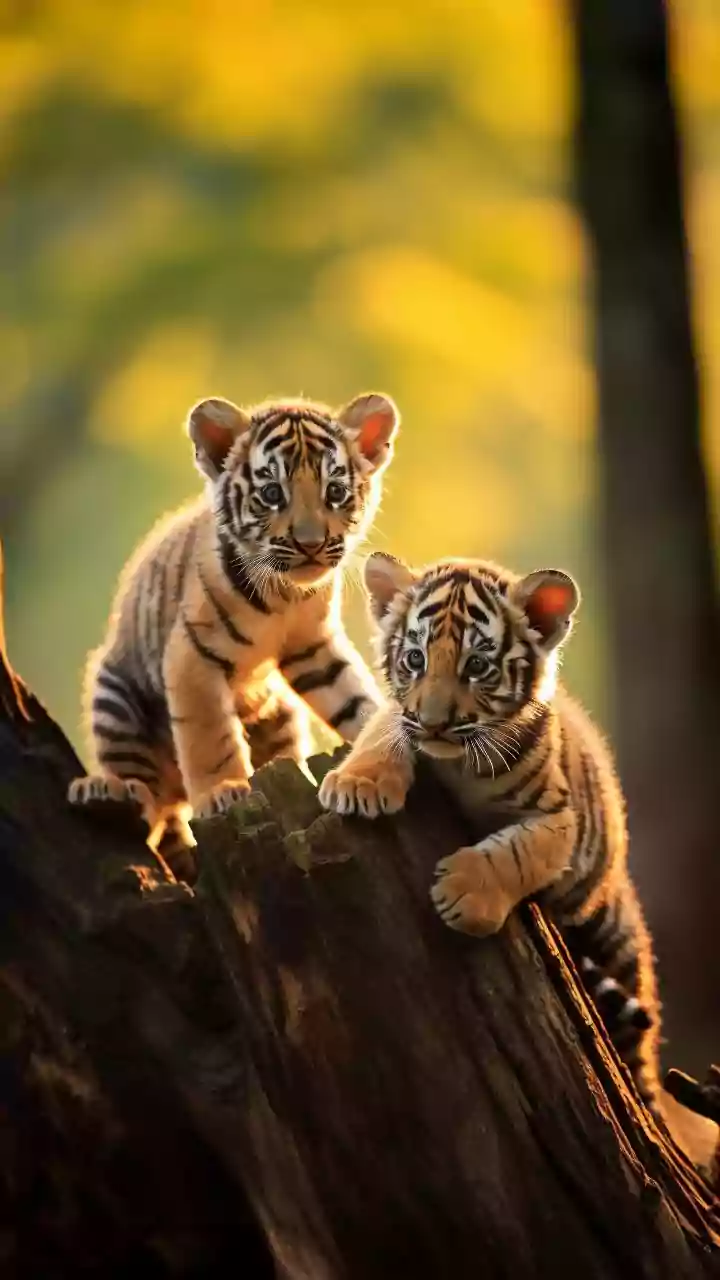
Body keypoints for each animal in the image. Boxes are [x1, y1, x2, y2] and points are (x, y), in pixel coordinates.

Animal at [69, 392, 399, 875]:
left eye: (335, 492)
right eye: (272, 494)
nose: (311, 544)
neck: (285, 594)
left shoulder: (313, 647)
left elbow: (352, 698)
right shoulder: (192, 656)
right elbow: (209, 734)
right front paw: (224, 791)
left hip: (279, 717)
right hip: (115, 699)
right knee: (149, 803)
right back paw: (107, 793)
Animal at [319, 551, 660, 1107]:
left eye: (476, 666)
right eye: (414, 659)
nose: (434, 723)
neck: (459, 764)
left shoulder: (557, 819)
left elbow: (515, 854)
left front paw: (464, 896)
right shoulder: (399, 715)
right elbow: (386, 726)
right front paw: (358, 783)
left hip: (616, 943)